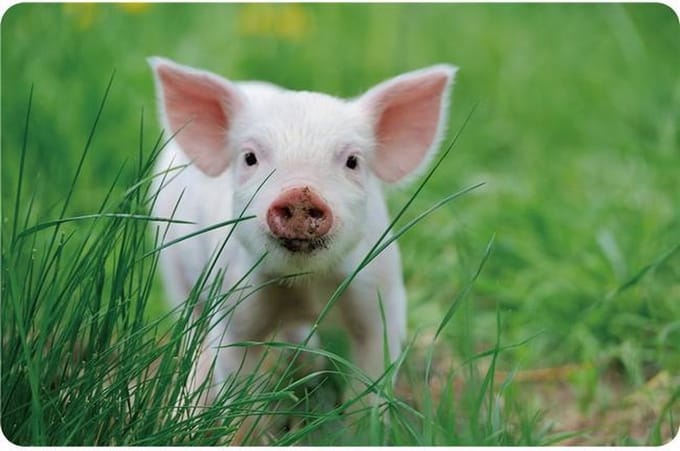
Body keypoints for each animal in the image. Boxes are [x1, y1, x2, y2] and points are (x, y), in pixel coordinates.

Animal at [148, 57, 457, 410]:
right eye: (249, 157)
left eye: (353, 161)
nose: (300, 193)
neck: (304, 284)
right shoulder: (231, 302)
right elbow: (236, 378)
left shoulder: (383, 294)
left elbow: (371, 379)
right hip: (172, 267)